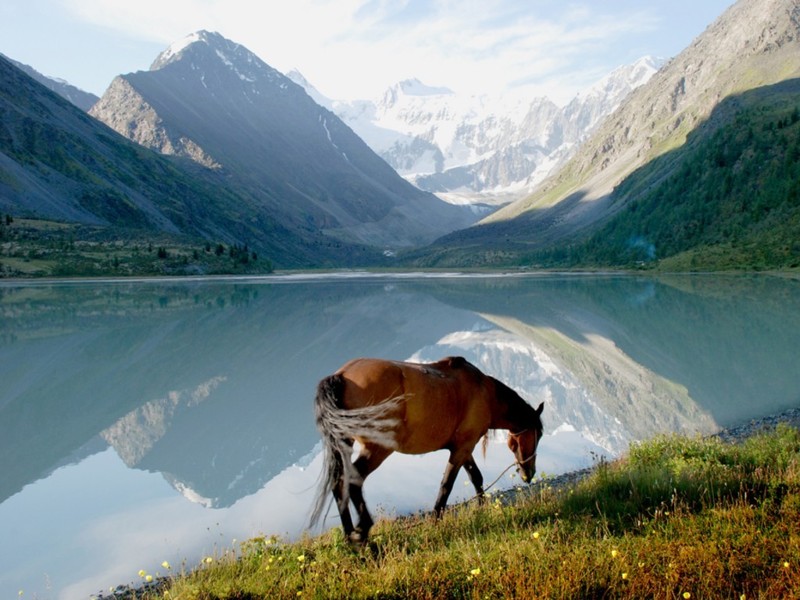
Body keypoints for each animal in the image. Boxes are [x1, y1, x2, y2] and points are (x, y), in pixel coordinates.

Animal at [306, 356, 544, 544]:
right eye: (539, 434)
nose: (528, 474)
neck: (484, 392)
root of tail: (341, 376)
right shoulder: (462, 448)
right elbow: (447, 485)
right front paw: (436, 521)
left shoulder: (463, 448)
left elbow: (476, 477)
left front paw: (482, 509)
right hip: (378, 449)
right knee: (353, 480)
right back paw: (362, 533)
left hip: (345, 444)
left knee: (339, 483)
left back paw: (349, 538)